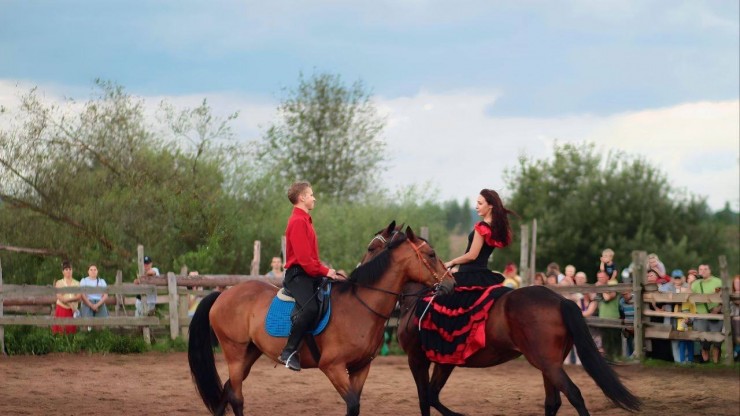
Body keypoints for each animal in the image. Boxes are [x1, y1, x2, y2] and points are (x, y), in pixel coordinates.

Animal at [188, 223, 455, 416]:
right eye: (431, 254)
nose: (451, 283)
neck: (361, 305)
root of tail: (224, 293)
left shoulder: (360, 367)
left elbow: (354, 406)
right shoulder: (332, 366)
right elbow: (352, 405)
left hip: (249, 353)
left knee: (226, 391)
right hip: (234, 352)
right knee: (236, 397)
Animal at [361, 227, 640, 416]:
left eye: (372, 248)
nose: (360, 269)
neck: (417, 298)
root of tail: (560, 300)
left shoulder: (417, 358)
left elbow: (424, 400)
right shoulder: (445, 361)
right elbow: (432, 396)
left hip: (548, 363)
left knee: (574, 395)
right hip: (549, 364)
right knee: (553, 402)